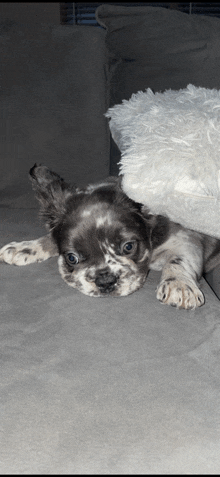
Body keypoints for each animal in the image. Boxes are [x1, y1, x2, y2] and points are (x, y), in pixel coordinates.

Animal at [0, 164, 220, 306]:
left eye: (128, 247)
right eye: (72, 258)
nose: (105, 281)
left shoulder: (186, 239)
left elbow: (178, 260)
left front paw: (179, 285)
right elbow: (50, 239)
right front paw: (25, 247)